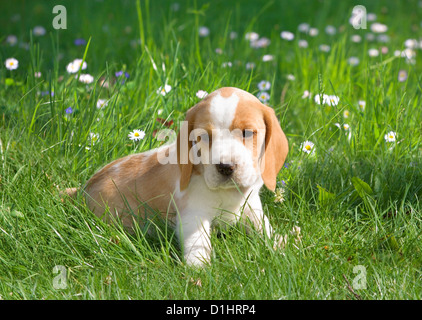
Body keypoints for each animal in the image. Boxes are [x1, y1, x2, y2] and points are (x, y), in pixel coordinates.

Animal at [81, 86, 288, 266]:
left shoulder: (252, 207)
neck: (229, 194)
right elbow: (198, 241)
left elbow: (264, 228)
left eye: (247, 133)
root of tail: (81, 191)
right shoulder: (193, 215)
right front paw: (198, 269)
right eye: (205, 136)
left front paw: (281, 244)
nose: (225, 167)